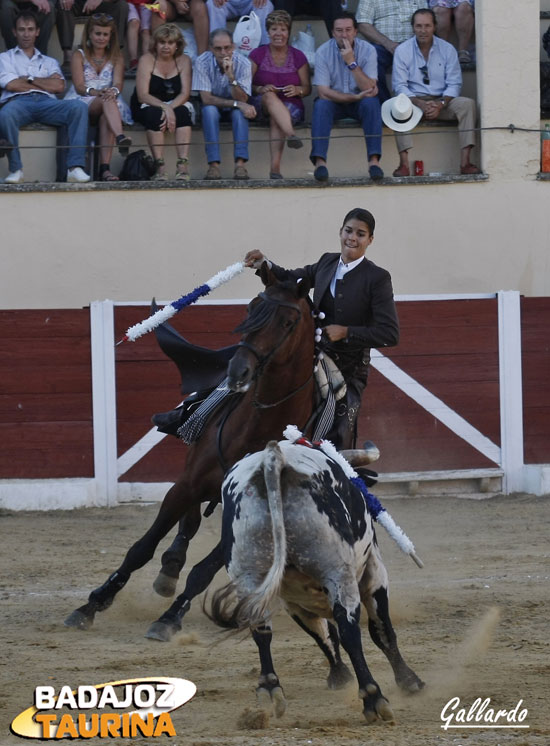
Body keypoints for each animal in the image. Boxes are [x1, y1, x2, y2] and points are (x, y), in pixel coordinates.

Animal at [65, 264, 322, 636]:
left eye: (288, 322)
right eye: (250, 310)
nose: (238, 371)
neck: (257, 427)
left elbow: (204, 571)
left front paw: (170, 617)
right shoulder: (185, 484)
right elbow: (141, 548)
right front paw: (92, 603)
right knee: (187, 524)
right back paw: (169, 568)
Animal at [209, 438, 424, 724]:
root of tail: (272, 457)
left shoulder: (294, 601)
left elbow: (321, 633)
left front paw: (339, 675)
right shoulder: (374, 572)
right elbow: (380, 630)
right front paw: (409, 681)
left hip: (248, 575)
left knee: (261, 629)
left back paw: (270, 689)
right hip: (338, 572)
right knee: (349, 631)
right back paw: (373, 698)